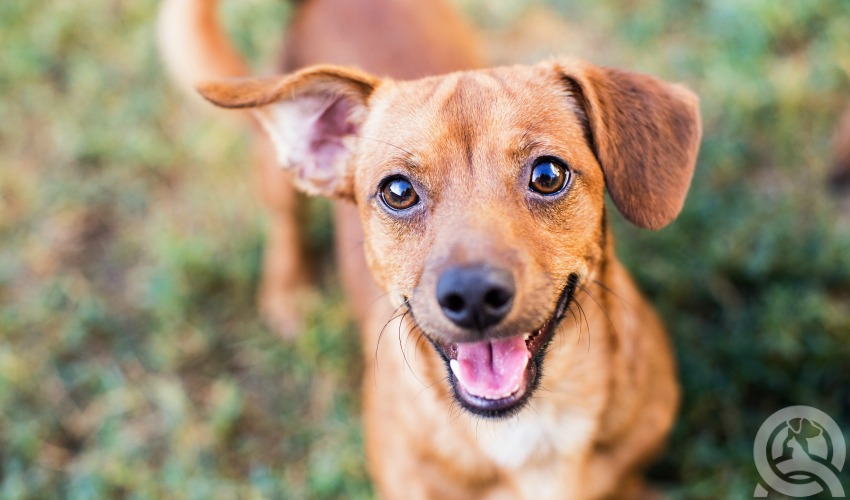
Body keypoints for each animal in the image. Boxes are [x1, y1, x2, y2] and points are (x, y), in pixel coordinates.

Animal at [157, 1, 696, 498]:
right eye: (397, 191)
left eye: (548, 175)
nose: (474, 296)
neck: (529, 432)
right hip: (277, 179)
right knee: (285, 225)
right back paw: (289, 292)